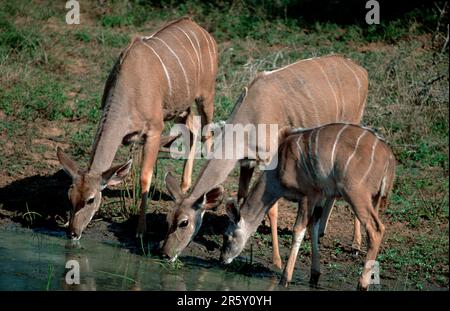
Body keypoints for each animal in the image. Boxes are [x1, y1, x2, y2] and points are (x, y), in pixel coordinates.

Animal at [56, 18, 218, 240]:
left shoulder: (155, 130)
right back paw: (185, 185)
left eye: (91, 199)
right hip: (179, 107)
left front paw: (140, 231)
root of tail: (200, 29)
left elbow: (144, 178)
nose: (73, 233)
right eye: (70, 196)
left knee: (207, 132)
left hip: (205, 96)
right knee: (191, 126)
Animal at [162, 54, 370, 266]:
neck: (249, 119)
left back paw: (355, 244)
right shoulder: (247, 161)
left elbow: (272, 210)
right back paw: (321, 231)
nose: (165, 253)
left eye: (184, 222)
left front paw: (277, 260)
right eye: (168, 219)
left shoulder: (271, 159)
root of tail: (361, 71)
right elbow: (242, 196)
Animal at [220, 123, 396, 290]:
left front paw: (285, 279)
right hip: (374, 199)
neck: (278, 169)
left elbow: (298, 230)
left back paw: (362, 284)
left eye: (227, 235)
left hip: (356, 194)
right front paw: (315, 275)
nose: (222, 259)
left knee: (376, 229)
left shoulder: (308, 194)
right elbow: (313, 227)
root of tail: (389, 157)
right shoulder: (318, 196)